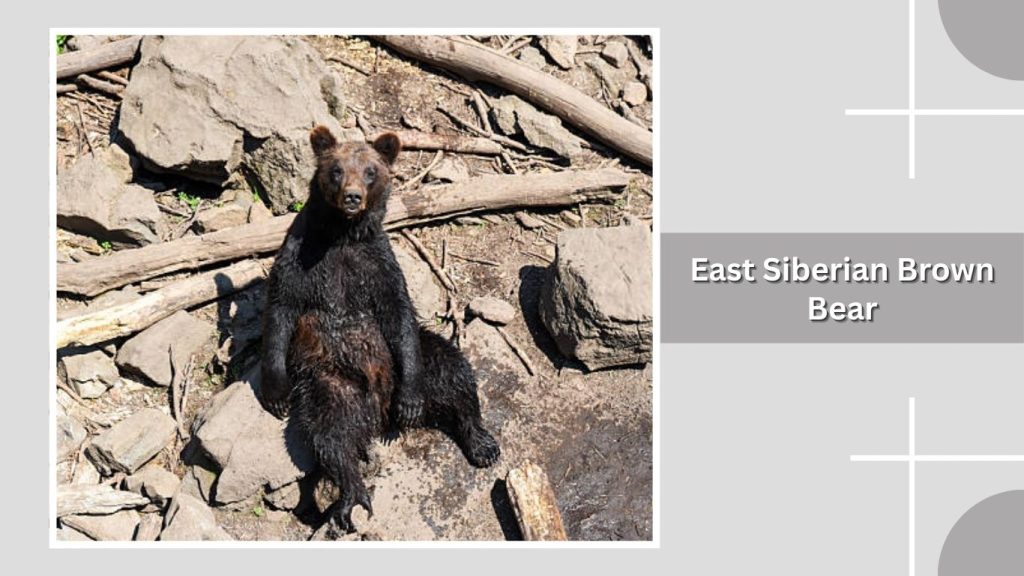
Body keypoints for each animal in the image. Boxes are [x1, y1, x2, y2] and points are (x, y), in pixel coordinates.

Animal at [259, 125, 500, 534]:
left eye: (370, 171)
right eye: (336, 170)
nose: (352, 196)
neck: (342, 236)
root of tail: (379, 412)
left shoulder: (377, 266)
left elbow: (398, 311)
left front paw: (414, 405)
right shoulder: (301, 260)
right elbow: (280, 310)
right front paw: (275, 393)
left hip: (409, 360)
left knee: (452, 371)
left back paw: (480, 442)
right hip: (330, 383)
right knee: (331, 435)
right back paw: (351, 496)